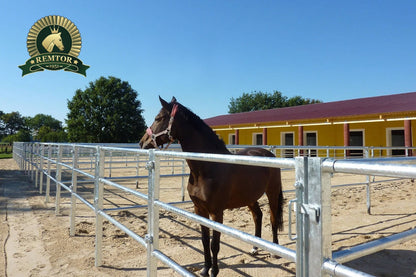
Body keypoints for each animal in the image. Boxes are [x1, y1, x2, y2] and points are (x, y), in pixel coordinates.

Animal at [140, 96, 282, 274]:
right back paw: (255, 248)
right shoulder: (199, 210)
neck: (208, 166)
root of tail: (269, 154)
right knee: (258, 216)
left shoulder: (216, 212)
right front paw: (205, 269)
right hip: (250, 197)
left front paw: (214, 271)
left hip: (272, 192)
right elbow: (204, 240)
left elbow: (215, 244)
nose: (142, 143)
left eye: (158, 118)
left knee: (273, 218)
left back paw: (275, 250)